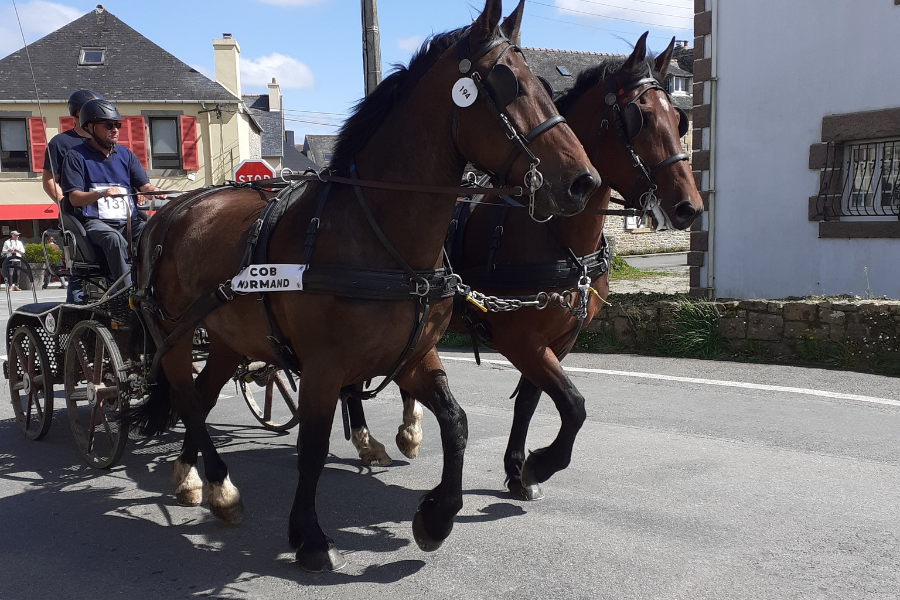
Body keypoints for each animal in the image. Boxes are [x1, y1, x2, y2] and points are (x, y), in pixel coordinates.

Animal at [125, 0, 596, 572]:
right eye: (509, 85)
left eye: (548, 88)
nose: (584, 182)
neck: (376, 235)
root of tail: (168, 213)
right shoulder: (325, 366)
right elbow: (311, 447)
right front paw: (308, 535)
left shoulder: (415, 355)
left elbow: (457, 422)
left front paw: (437, 516)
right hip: (173, 337)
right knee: (190, 402)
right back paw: (219, 485)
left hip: (226, 337)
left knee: (203, 394)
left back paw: (196, 479)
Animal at [344, 34, 704, 502]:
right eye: (639, 119)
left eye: (678, 121)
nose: (689, 207)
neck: (554, 235)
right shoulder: (520, 339)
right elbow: (573, 405)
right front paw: (540, 464)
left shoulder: (559, 340)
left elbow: (532, 402)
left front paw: (517, 471)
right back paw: (368, 442)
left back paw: (409, 430)